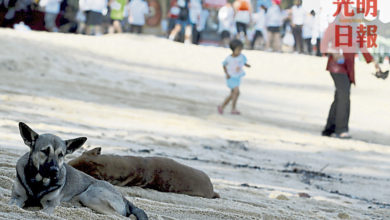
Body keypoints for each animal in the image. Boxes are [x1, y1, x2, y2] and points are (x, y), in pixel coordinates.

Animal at [9, 123, 149, 219]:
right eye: (44, 151)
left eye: (61, 154)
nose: (55, 171)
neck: (39, 182)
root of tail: (123, 197)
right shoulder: (17, 198)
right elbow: (13, 205)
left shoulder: (51, 204)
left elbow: (41, 212)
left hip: (89, 195)